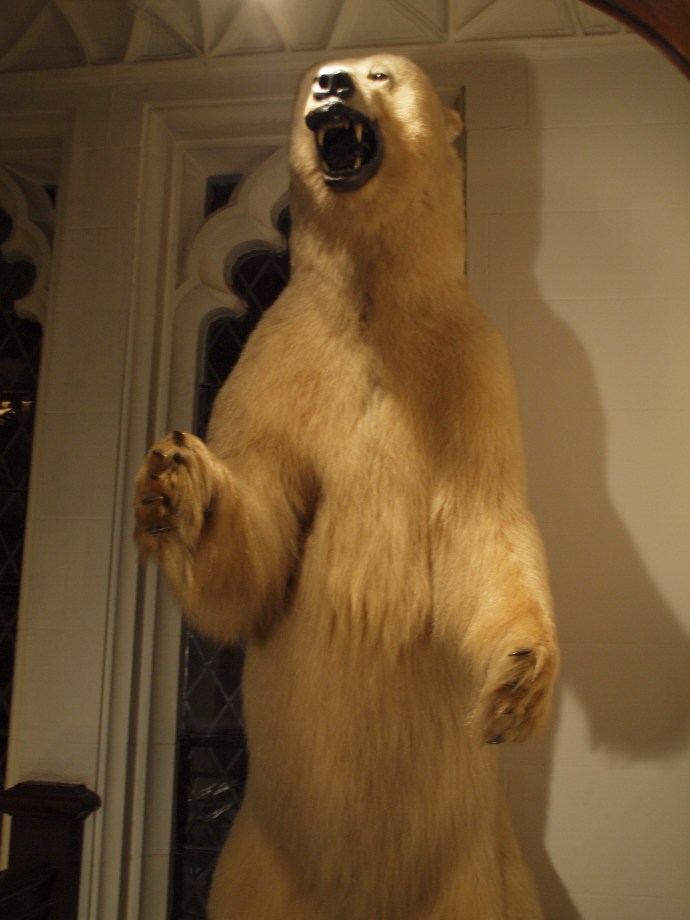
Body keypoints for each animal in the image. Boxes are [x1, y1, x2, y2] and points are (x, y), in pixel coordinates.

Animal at [135, 54, 558, 919]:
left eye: (383, 72)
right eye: (314, 79)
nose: (333, 82)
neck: (372, 304)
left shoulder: (472, 368)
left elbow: (486, 525)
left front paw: (518, 682)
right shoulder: (277, 363)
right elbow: (261, 544)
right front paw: (177, 483)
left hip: (476, 876)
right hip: (256, 868)